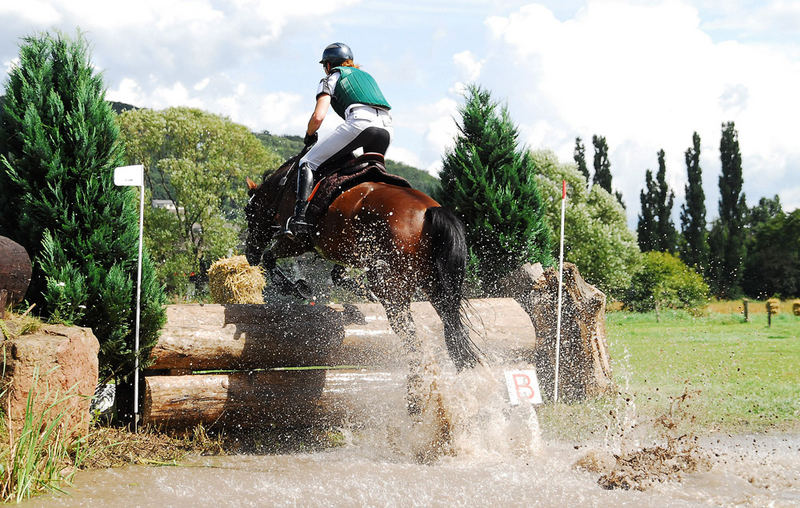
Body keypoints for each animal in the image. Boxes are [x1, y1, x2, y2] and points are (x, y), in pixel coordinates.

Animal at [244, 149, 482, 414]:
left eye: (248, 212)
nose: (249, 253)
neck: (285, 184)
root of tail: (430, 211)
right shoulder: (344, 251)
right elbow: (337, 276)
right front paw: (360, 294)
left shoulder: (297, 240)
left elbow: (271, 257)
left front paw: (296, 288)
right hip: (436, 287)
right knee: (452, 328)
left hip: (393, 289)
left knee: (411, 337)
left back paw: (415, 398)